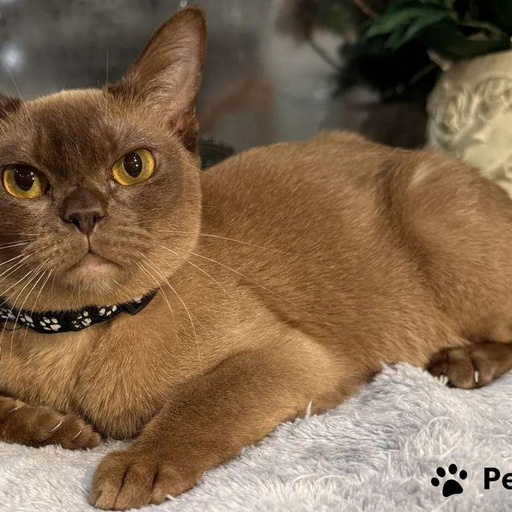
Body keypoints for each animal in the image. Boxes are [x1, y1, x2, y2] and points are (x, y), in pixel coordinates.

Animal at [0, 7, 511, 511]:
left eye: (133, 167)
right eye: (22, 180)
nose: (84, 214)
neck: (76, 332)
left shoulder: (286, 358)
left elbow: (199, 403)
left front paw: (133, 470)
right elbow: (6, 413)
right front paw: (60, 430)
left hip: (432, 215)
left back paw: (463, 363)